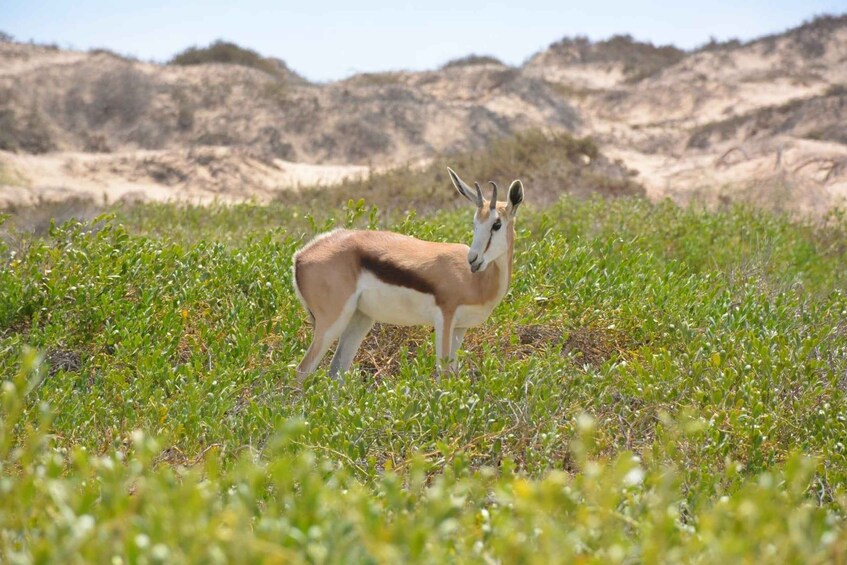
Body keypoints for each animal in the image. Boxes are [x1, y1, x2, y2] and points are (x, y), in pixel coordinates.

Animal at [292, 167, 524, 381]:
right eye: (475, 223)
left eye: (496, 224)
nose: (473, 260)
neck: (477, 282)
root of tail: (301, 256)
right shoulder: (445, 319)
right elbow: (443, 374)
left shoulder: (461, 327)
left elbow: (453, 375)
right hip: (332, 322)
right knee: (302, 372)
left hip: (360, 319)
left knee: (336, 371)